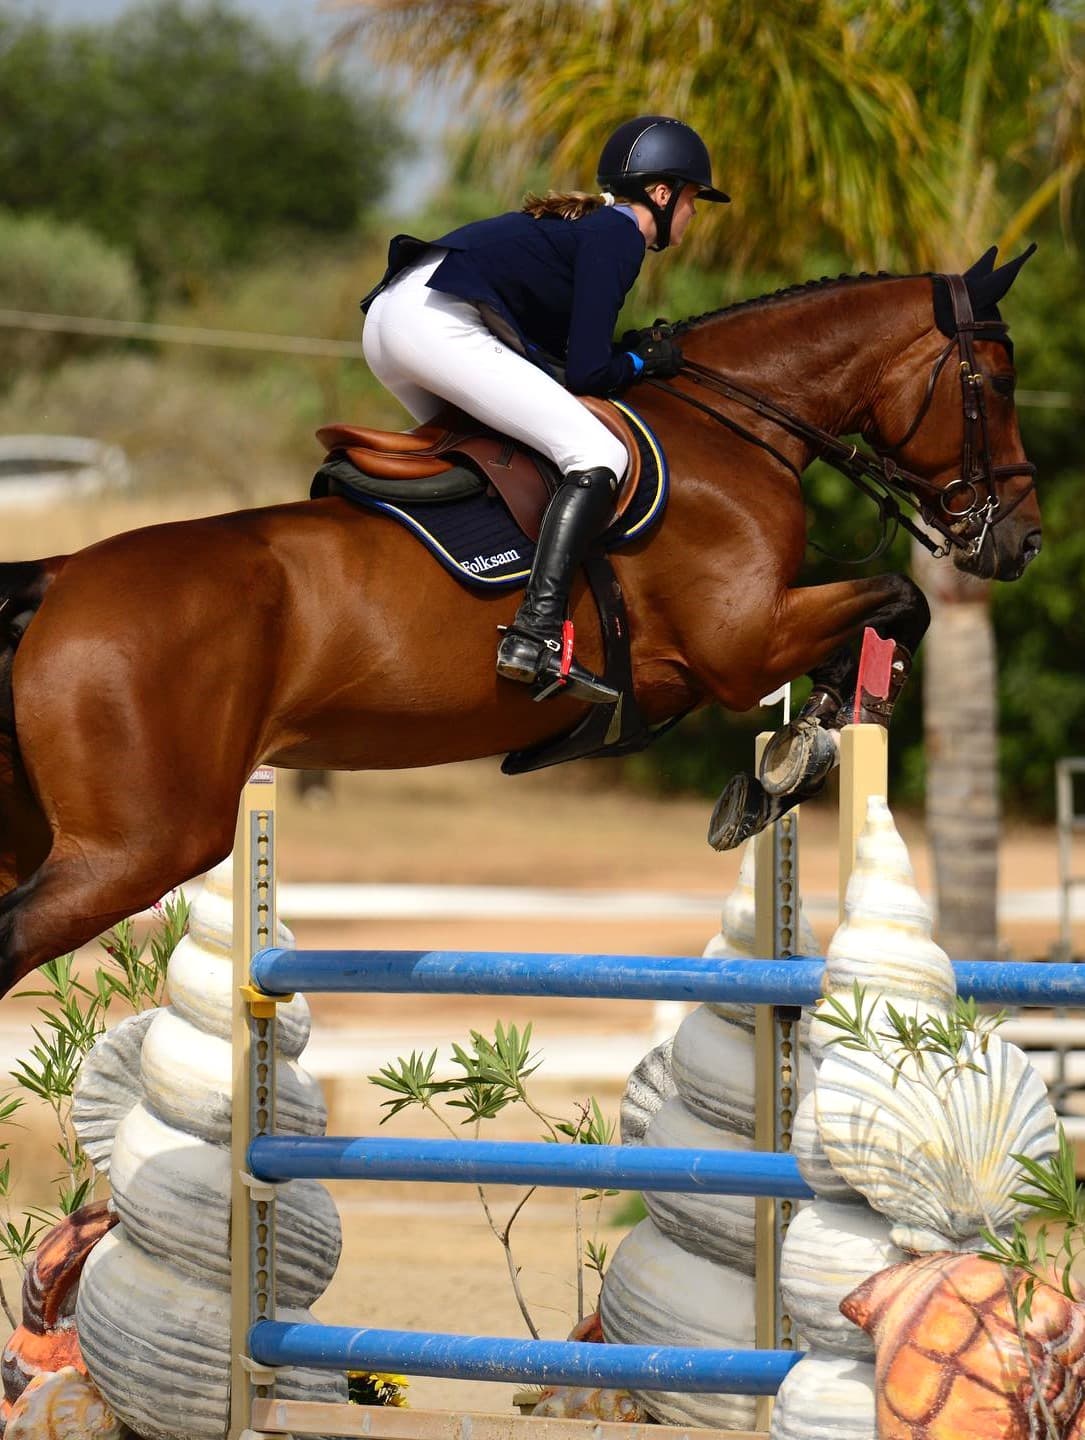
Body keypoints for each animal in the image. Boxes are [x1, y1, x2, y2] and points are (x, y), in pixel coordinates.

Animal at [0, 247, 1043, 996]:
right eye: (994, 383)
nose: (1019, 541)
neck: (738, 424)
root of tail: (59, 577)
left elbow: (882, 620)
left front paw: (782, 768)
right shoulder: (741, 644)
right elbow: (897, 602)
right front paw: (798, 756)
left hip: (50, 834)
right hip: (138, 847)